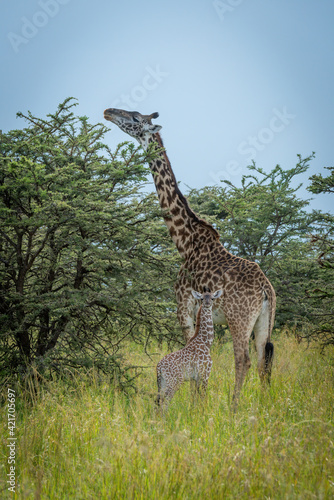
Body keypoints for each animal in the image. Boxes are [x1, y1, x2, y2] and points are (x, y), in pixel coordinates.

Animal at [105, 108, 276, 406]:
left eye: (136, 118)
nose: (108, 112)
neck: (184, 241)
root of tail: (266, 288)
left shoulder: (183, 306)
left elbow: (187, 349)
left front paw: (191, 403)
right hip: (265, 320)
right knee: (262, 360)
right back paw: (263, 405)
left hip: (239, 319)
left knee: (242, 360)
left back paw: (234, 406)